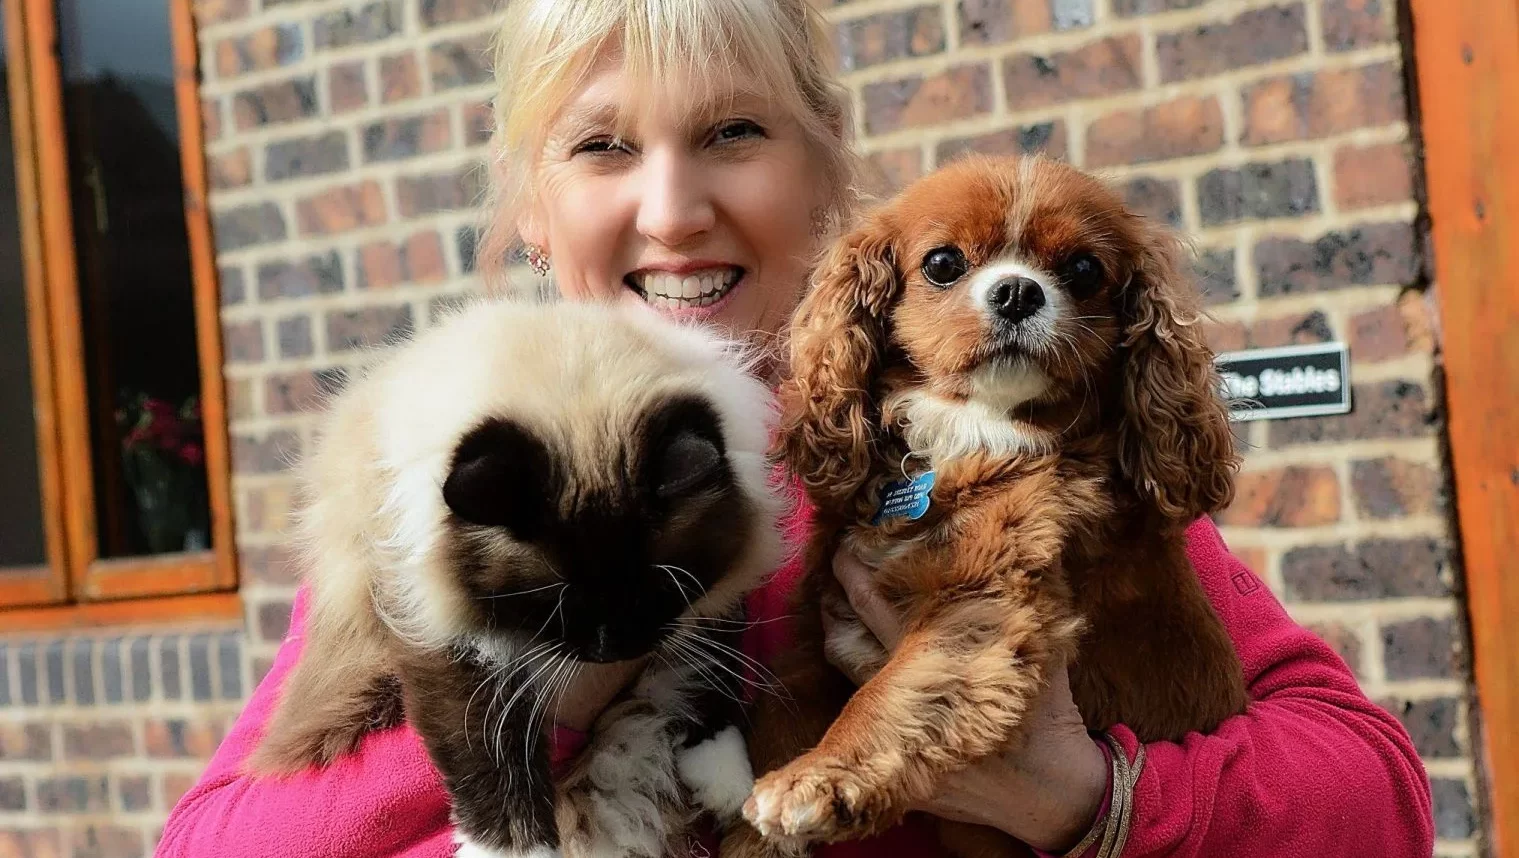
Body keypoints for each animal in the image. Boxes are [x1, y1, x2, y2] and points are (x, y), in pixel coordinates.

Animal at [724, 155, 1249, 857]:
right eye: (944, 263)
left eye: (1085, 270)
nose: (1018, 292)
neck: (971, 430)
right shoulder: (816, 631)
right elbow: (783, 718)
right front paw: (750, 835)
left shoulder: (979, 607)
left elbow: (891, 696)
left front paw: (819, 779)